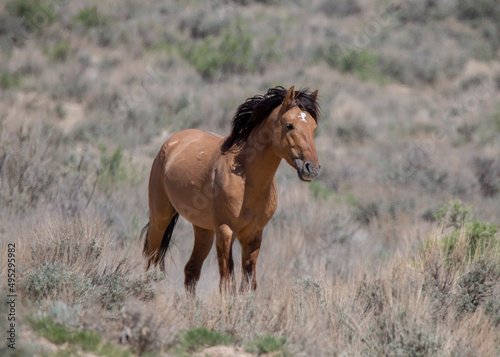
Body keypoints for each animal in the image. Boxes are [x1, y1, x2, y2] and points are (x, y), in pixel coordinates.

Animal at [141, 85, 320, 294]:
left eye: (314, 128)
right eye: (289, 125)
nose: (312, 168)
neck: (247, 179)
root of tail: (171, 142)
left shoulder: (253, 235)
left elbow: (248, 284)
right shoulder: (226, 232)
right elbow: (228, 283)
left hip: (203, 230)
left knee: (191, 271)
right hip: (160, 217)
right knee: (150, 259)